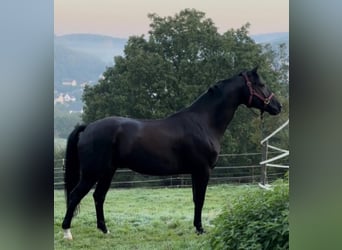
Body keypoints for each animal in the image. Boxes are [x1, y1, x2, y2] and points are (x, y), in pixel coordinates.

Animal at [60, 67, 280, 239]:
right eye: (261, 84)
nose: (278, 106)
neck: (203, 121)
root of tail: (88, 127)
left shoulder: (196, 172)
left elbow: (196, 199)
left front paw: (197, 228)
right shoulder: (202, 170)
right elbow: (200, 199)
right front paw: (200, 230)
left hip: (108, 171)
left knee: (98, 196)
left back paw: (105, 230)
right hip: (92, 173)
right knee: (75, 196)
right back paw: (67, 232)